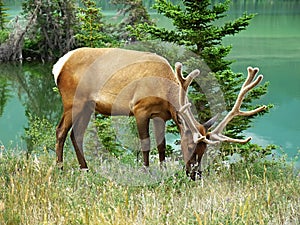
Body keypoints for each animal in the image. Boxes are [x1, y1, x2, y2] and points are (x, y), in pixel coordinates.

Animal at [52, 47, 266, 179]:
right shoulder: (140, 108)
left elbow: (161, 146)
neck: (166, 92)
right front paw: (146, 171)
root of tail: (58, 65)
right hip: (73, 100)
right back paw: (60, 168)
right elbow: (146, 144)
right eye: (190, 146)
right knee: (61, 131)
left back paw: (85, 168)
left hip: (88, 105)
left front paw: (162, 170)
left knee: (76, 134)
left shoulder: (160, 115)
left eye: (204, 150)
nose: (195, 175)